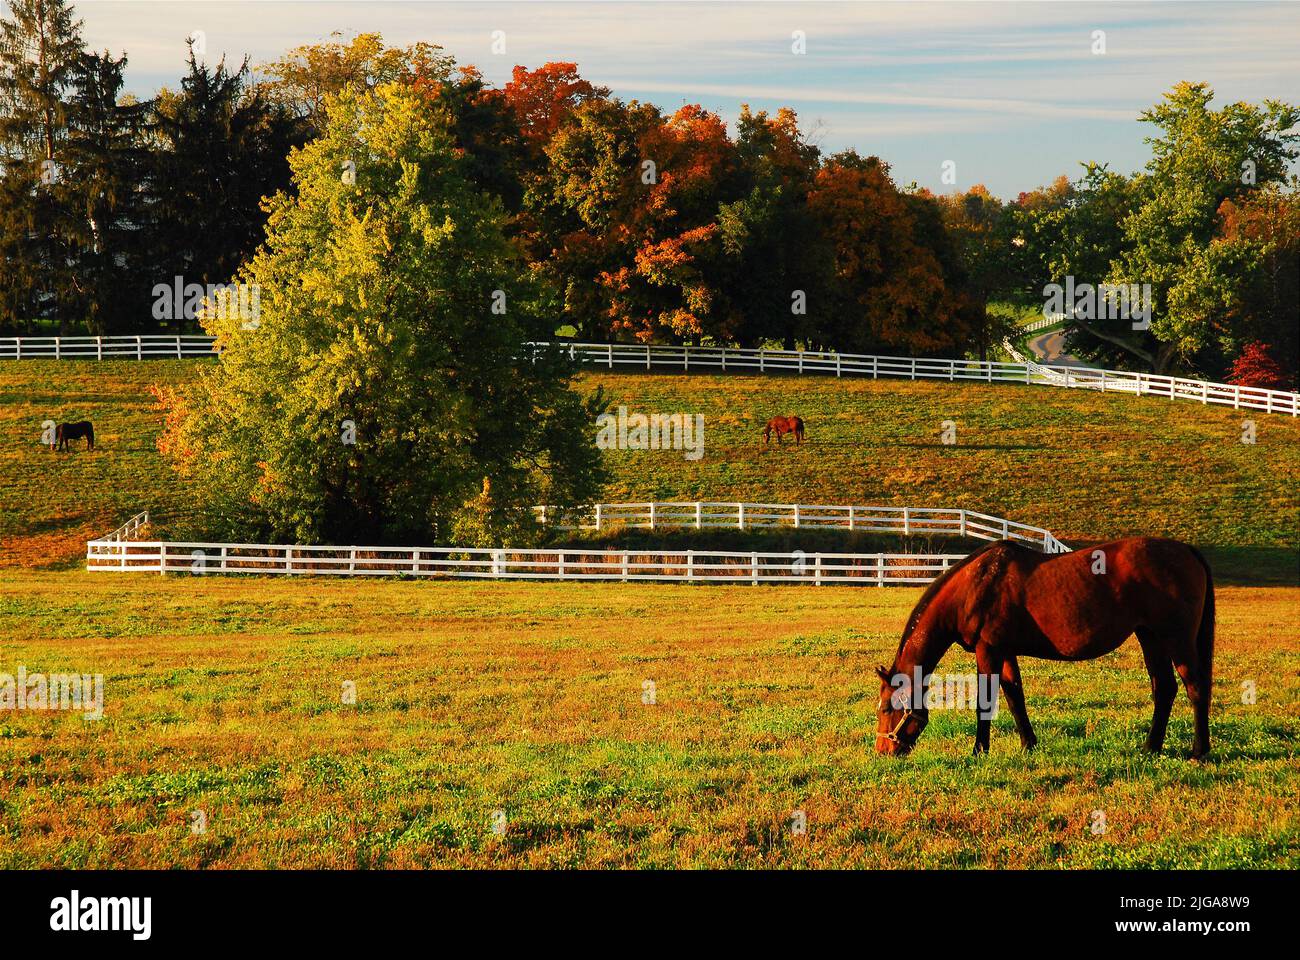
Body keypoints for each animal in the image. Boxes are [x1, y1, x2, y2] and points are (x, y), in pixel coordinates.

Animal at [878, 538, 1211, 754]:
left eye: (886, 707)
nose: (882, 750)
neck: (975, 585)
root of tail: (1186, 550)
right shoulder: (1005, 651)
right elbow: (1015, 697)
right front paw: (1028, 744)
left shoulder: (988, 651)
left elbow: (985, 702)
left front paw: (979, 750)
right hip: (1150, 637)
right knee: (1164, 688)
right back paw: (1151, 748)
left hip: (1176, 639)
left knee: (1194, 687)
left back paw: (1199, 750)